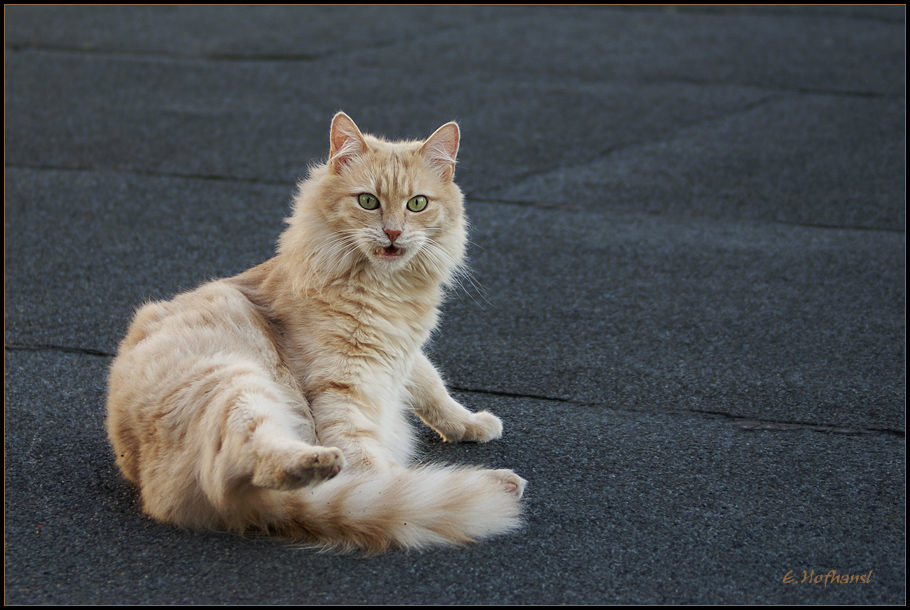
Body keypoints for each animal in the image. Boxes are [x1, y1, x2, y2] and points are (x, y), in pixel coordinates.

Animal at [106, 110, 528, 552]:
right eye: (367, 201)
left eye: (417, 204)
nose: (393, 233)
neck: (385, 290)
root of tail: (152, 487)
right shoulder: (341, 389)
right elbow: (374, 468)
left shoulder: (404, 354)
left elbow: (433, 388)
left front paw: (470, 424)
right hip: (237, 383)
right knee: (255, 459)